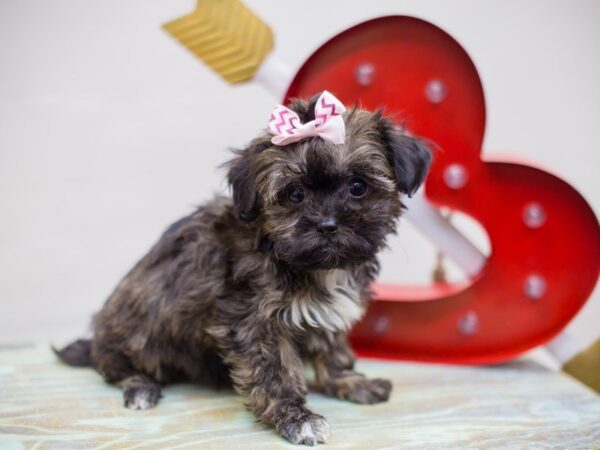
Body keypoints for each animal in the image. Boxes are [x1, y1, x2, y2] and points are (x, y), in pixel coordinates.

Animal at [56, 89, 432, 444]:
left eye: (357, 187)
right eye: (295, 195)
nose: (327, 225)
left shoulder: (325, 315)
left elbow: (332, 349)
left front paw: (349, 382)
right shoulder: (253, 321)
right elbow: (275, 371)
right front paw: (296, 418)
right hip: (137, 333)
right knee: (116, 367)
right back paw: (140, 387)